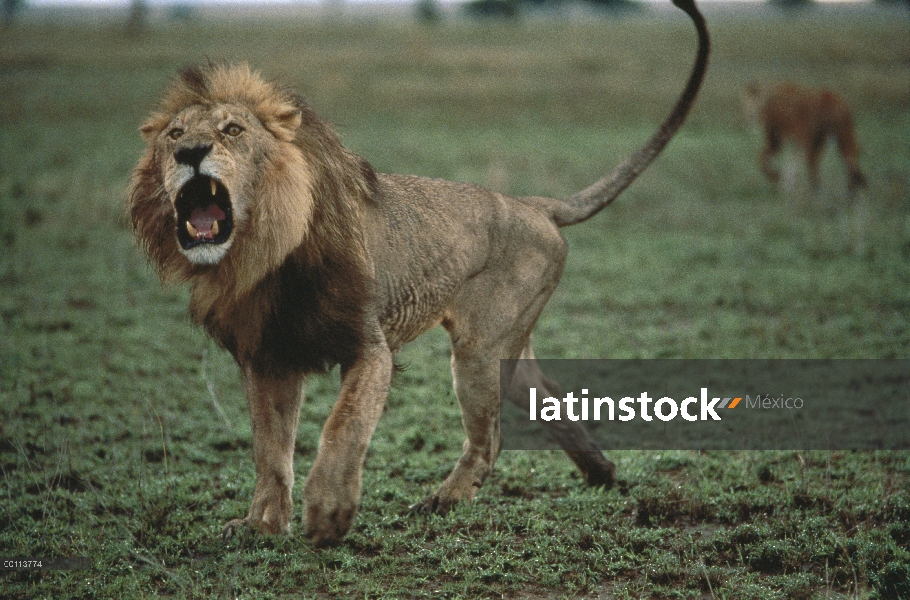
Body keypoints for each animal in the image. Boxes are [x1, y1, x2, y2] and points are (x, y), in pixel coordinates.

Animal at [128, 0, 712, 548]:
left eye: (232, 130)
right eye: (174, 133)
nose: (190, 152)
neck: (265, 253)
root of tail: (533, 206)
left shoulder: (368, 346)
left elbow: (343, 426)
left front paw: (329, 513)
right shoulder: (268, 356)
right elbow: (269, 451)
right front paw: (261, 525)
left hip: (480, 348)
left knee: (489, 438)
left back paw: (442, 501)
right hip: (508, 342)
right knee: (546, 394)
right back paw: (601, 472)